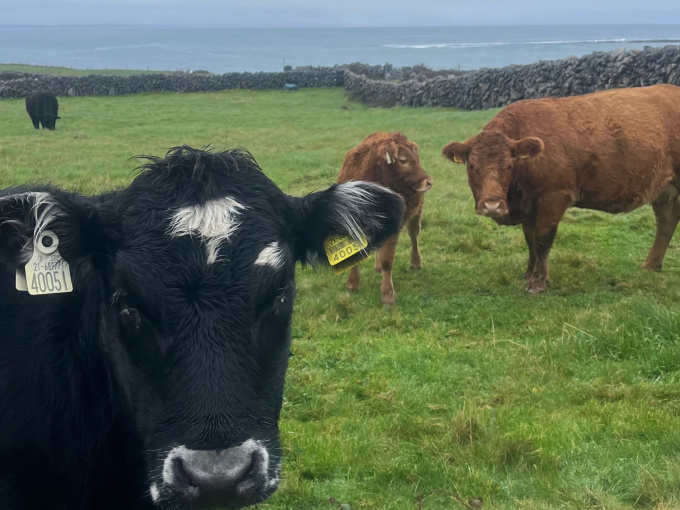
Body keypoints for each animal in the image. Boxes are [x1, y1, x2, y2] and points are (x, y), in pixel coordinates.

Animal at [338, 132, 432, 305]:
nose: (428, 182)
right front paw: (352, 283)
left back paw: (415, 262)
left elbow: (387, 260)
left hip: (416, 214)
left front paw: (387, 293)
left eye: (416, 158)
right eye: (403, 160)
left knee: (414, 236)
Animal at [442, 84, 680, 293]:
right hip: (664, 191)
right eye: (472, 166)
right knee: (666, 223)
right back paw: (651, 265)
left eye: (509, 166)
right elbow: (530, 240)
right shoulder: (529, 206)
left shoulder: (553, 198)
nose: (492, 205)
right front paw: (529, 273)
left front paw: (538, 283)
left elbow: (542, 240)